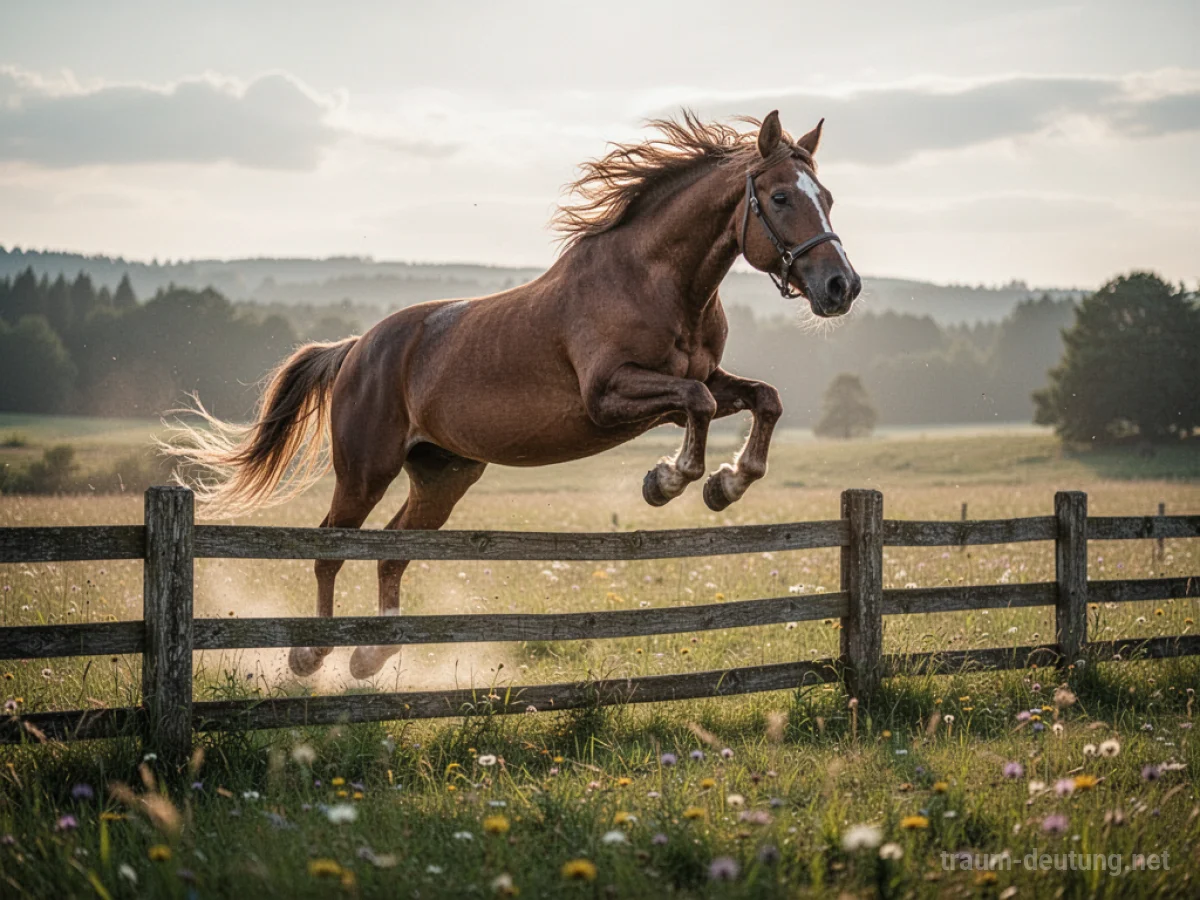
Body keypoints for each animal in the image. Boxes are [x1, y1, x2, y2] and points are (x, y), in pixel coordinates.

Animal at [167, 110, 861, 680]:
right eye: (780, 197)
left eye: (827, 197)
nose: (841, 286)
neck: (656, 280)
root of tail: (358, 346)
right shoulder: (607, 396)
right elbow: (699, 402)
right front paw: (669, 480)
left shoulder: (704, 376)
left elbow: (760, 398)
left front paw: (725, 483)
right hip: (365, 470)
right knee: (330, 548)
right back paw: (312, 655)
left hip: (443, 475)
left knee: (392, 553)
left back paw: (373, 653)